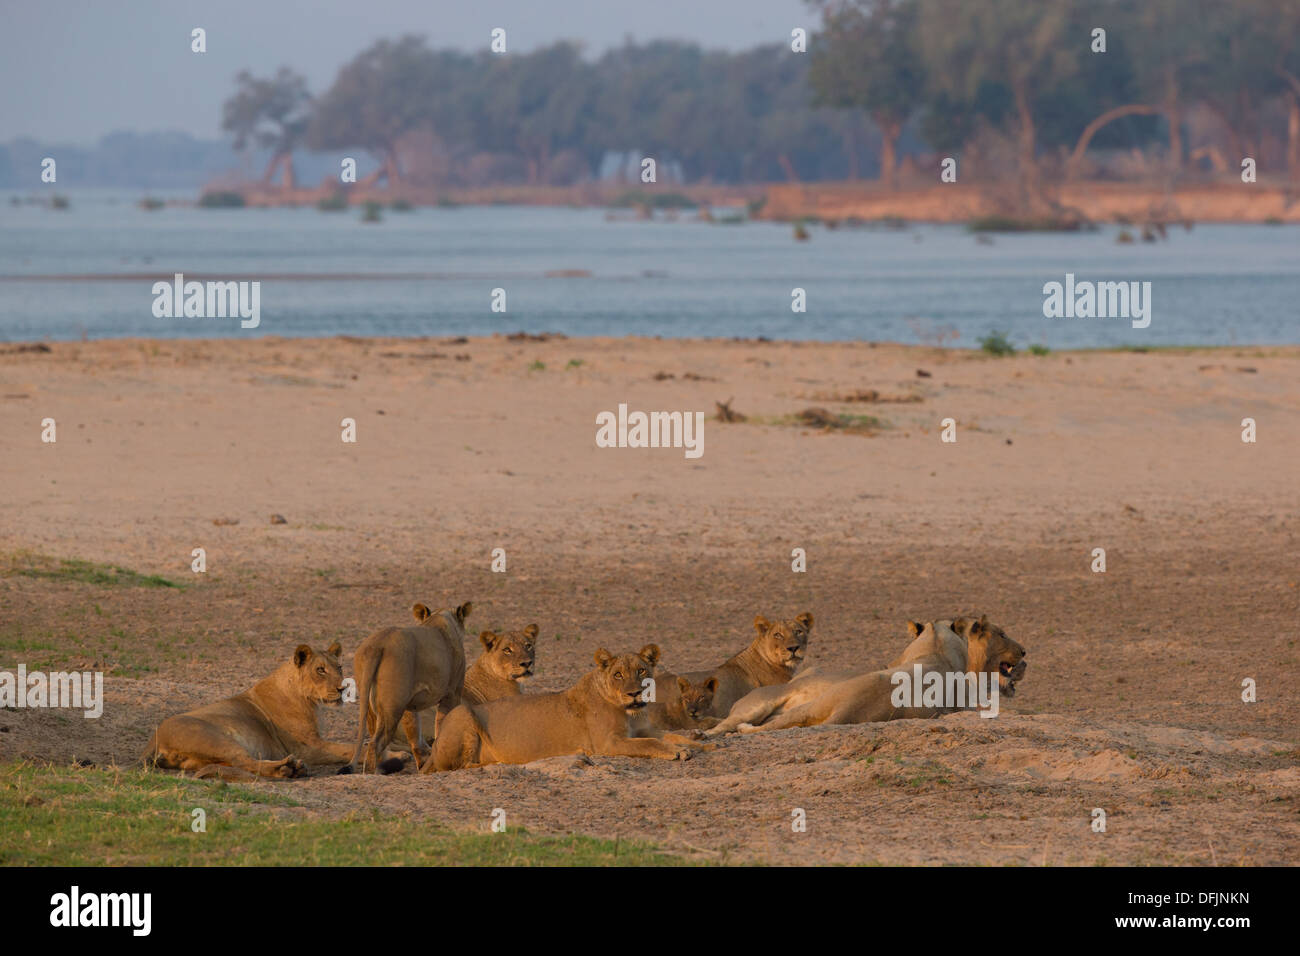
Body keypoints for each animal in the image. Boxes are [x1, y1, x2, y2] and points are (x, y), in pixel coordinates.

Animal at [143, 642, 351, 780]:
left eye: (339, 667)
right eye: (320, 670)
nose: (343, 688)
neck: (311, 702)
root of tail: (153, 742)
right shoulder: (306, 747)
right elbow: (348, 749)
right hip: (216, 739)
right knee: (244, 761)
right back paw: (287, 768)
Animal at [351, 600, 473, 775]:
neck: (440, 617)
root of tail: (378, 644)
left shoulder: (410, 704)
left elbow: (415, 734)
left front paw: (423, 765)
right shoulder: (453, 693)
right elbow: (441, 727)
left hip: (372, 703)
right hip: (392, 708)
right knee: (375, 743)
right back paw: (372, 774)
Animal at [428, 642, 712, 770]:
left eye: (641, 670)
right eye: (618, 674)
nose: (634, 693)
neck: (630, 713)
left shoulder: (645, 729)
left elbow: (672, 735)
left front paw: (701, 744)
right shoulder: (608, 743)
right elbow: (650, 744)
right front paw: (677, 751)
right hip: (462, 713)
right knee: (459, 765)